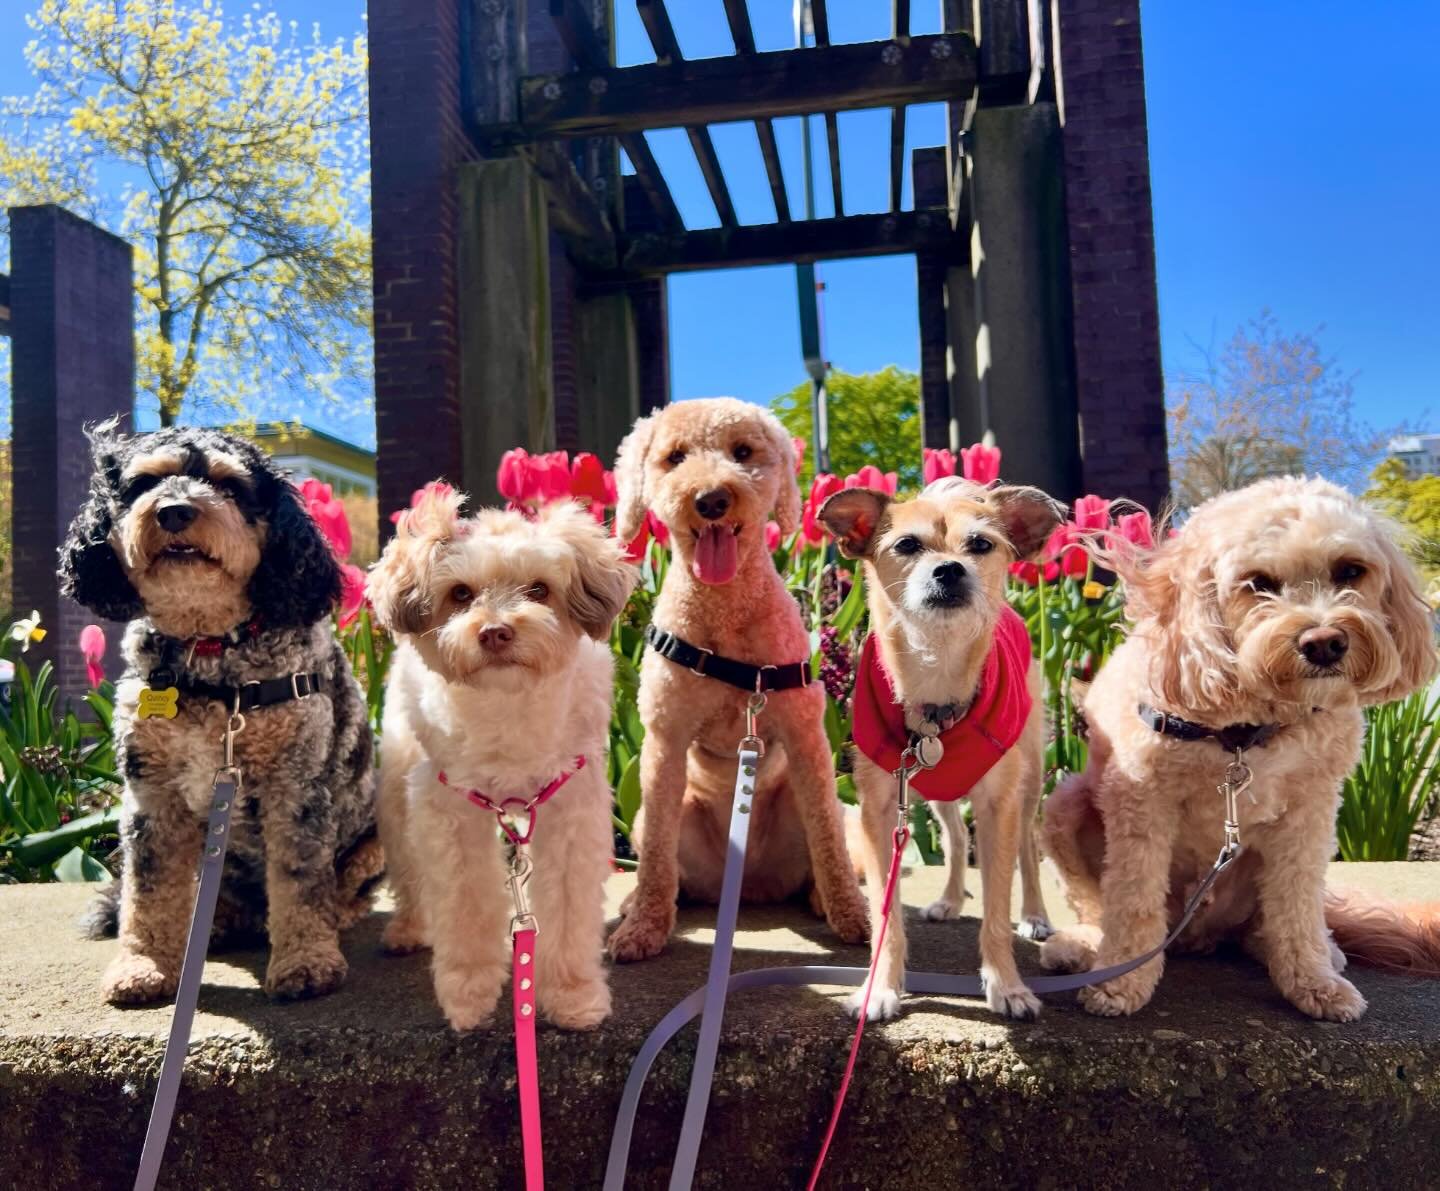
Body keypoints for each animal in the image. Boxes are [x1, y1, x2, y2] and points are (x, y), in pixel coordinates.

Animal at [60, 423, 383, 1002]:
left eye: (229, 485)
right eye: (145, 483)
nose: (173, 511)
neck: (209, 652)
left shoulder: (295, 786)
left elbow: (300, 880)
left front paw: (306, 960)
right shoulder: (151, 795)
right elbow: (148, 890)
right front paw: (143, 965)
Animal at [371, 489, 636, 1031]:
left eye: (539, 588)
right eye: (460, 594)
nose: (494, 631)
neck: (508, 710)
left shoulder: (571, 810)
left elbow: (568, 910)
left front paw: (573, 997)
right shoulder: (450, 812)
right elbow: (467, 901)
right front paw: (469, 993)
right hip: (396, 788)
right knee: (408, 868)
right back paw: (408, 928)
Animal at [604, 397, 864, 962]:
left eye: (742, 452)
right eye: (675, 457)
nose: (711, 499)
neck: (724, 620)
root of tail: (748, 884)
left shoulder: (807, 737)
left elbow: (829, 841)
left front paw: (851, 916)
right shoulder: (664, 739)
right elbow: (655, 856)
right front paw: (643, 929)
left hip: (809, 801)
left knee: (828, 841)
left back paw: (823, 894)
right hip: (661, 813)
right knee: (664, 864)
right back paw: (634, 905)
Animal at [817, 481, 1065, 1019]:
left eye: (981, 544)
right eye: (907, 545)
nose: (949, 568)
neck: (936, 679)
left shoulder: (997, 807)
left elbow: (997, 906)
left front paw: (1007, 985)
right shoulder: (880, 810)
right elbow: (886, 915)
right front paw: (880, 987)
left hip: (1028, 782)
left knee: (1027, 848)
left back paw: (1036, 914)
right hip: (935, 793)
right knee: (952, 838)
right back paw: (950, 899)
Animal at [1042, 481, 1440, 1019]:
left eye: (1350, 570)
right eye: (1259, 583)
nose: (1324, 642)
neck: (1247, 731)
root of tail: (1197, 934)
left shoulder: (1311, 814)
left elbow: (1297, 901)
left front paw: (1312, 981)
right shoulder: (1143, 803)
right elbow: (1133, 899)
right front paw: (1119, 982)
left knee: (1274, 918)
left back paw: (1314, 949)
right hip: (1063, 806)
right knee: (1095, 904)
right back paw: (1082, 947)